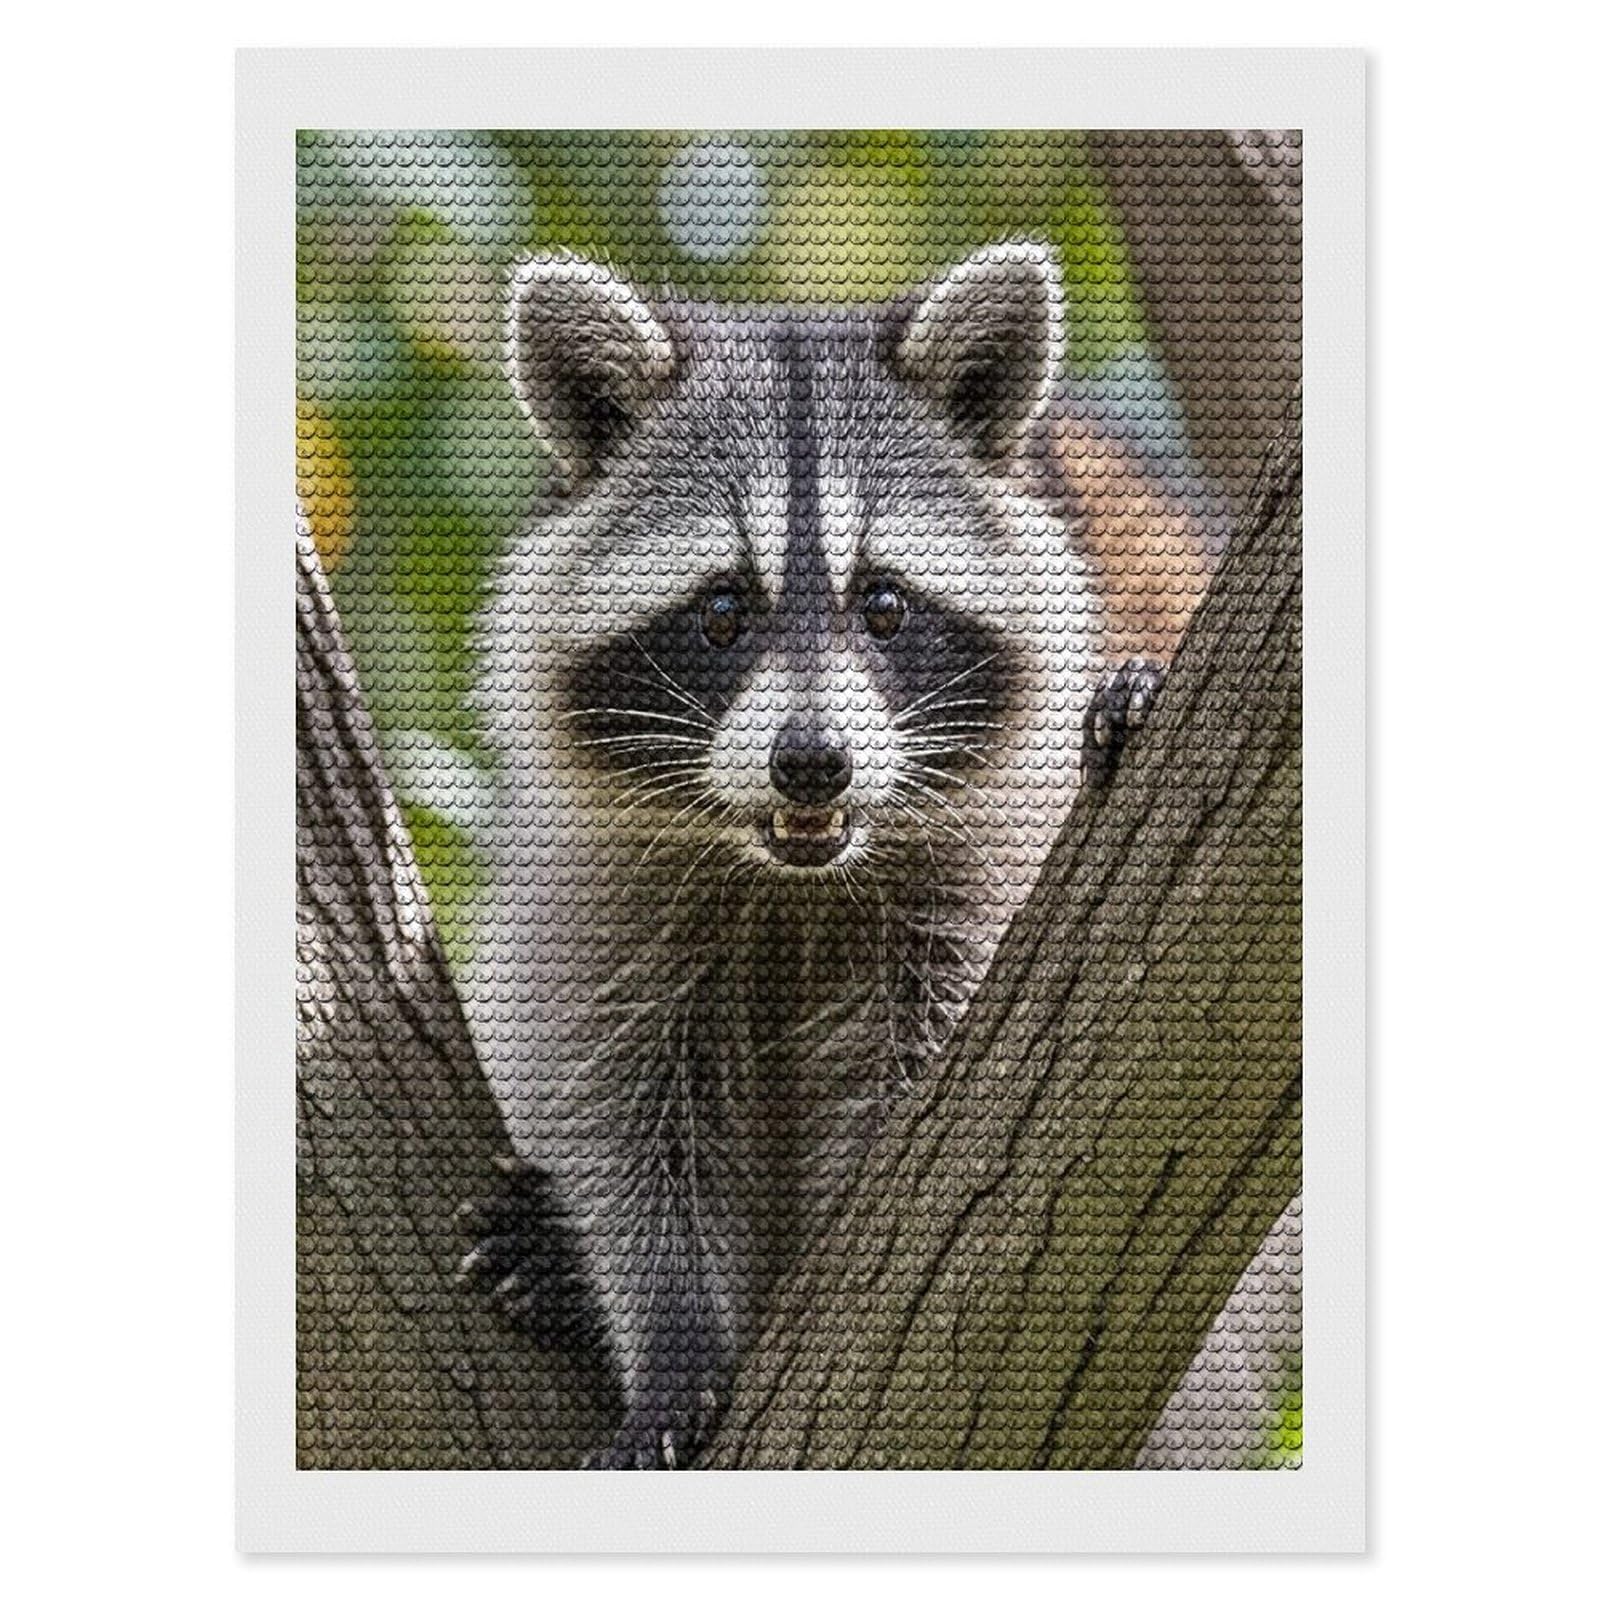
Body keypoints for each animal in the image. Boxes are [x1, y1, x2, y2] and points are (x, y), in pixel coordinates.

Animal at [466, 240, 1139, 1468]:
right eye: (725, 609)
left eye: (884, 604)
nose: (812, 764)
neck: (793, 879)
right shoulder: (606, 893)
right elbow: (621, 1109)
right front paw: (667, 1341)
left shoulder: (984, 876)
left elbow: (921, 1068)